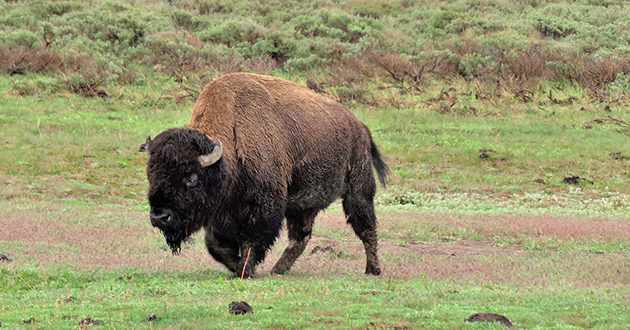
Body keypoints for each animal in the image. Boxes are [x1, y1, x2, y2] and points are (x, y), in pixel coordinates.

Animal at [141, 73, 390, 278]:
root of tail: (360, 126)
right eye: (150, 175)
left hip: (358, 190)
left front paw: (244, 269)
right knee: (300, 237)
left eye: (191, 178)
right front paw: (236, 265)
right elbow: (215, 244)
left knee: (366, 227)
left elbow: (252, 239)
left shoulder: (264, 205)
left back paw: (373, 269)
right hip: (303, 204)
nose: (160, 216)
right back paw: (277, 270)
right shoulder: (222, 211)